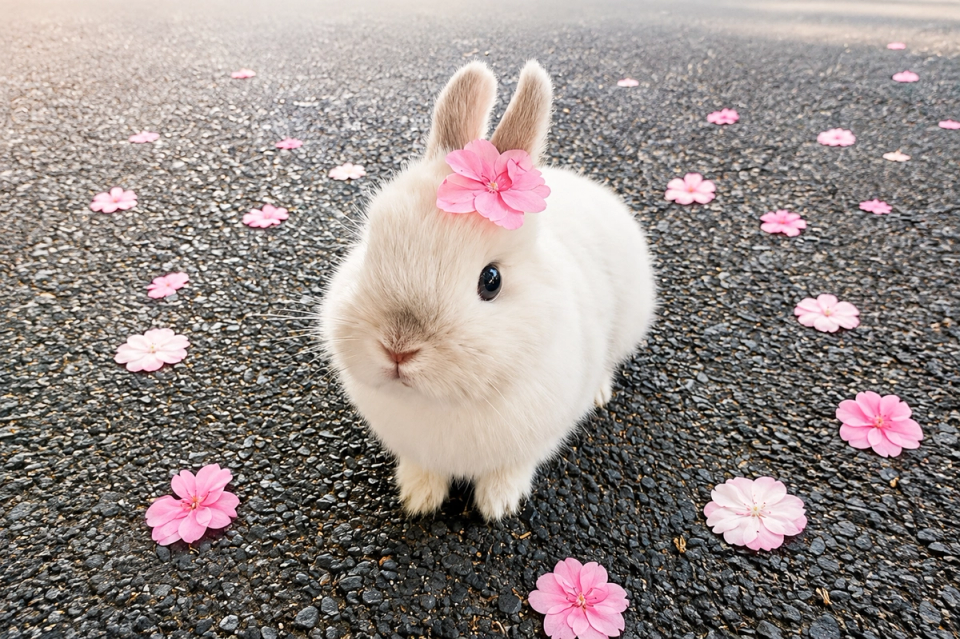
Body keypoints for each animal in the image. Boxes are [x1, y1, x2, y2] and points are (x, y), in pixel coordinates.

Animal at [318, 60, 656, 521]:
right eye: (370, 248)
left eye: (491, 280)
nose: (398, 349)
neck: (444, 403)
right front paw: (418, 497)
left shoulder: (533, 440)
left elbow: (511, 469)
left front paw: (498, 504)